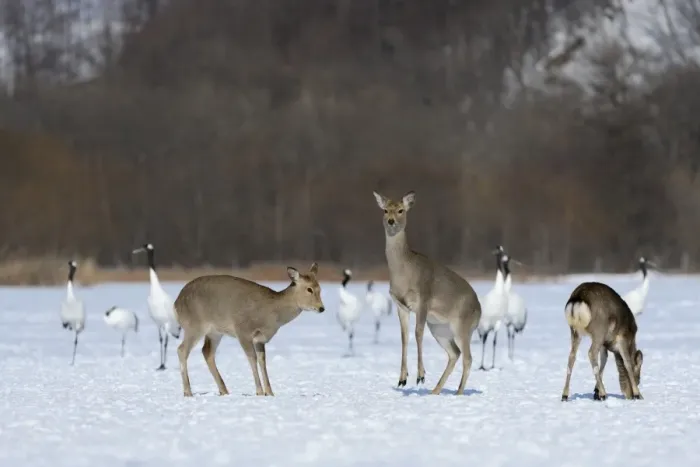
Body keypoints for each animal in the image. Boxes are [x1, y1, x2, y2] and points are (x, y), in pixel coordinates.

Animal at [174, 263, 325, 397]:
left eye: (319, 288)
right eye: (309, 289)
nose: (321, 308)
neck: (272, 314)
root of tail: (176, 303)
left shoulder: (260, 338)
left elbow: (262, 360)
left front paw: (269, 392)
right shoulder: (242, 330)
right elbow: (252, 358)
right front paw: (259, 391)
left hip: (215, 332)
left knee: (207, 352)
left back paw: (224, 391)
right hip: (194, 325)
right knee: (182, 349)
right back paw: (188, 392)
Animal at [373, 191, 482, 395]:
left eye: (401, 210)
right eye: (385, 210)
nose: (391, 221)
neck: (404, 272)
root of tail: (480, 310)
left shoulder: (423, 299)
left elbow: (417, 333)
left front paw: (420, 375)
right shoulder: (400, 305)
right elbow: (404, 336)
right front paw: (402, 378)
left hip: (462, 326)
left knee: (468, 357)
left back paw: (458, 392)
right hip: (439, 328)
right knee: (455, 353)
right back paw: (435, 390)